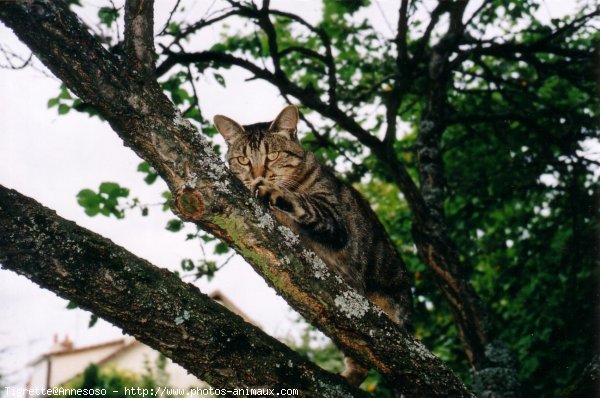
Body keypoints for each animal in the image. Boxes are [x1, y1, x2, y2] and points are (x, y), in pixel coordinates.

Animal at [212, 104, 412, 384]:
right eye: (243, 160)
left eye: (272, 156)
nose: (258, 175)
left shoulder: (334, 219)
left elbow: (303, 202)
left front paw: (275, 192)